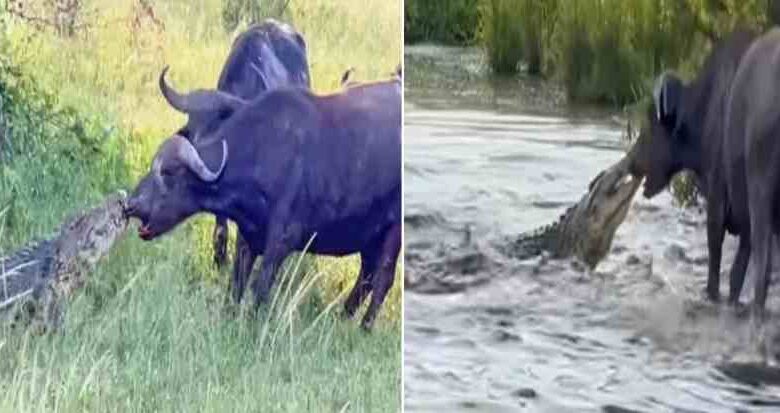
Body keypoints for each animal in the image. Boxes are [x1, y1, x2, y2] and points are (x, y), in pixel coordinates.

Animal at [125, 69, 401, 329]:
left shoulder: (281, 242)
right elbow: (236, 285)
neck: (263, 153)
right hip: (369, 236)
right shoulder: (246, 238)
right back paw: (342, 316)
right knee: (366, 276)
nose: (131, 205)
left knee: (383, 279)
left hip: (393, 233)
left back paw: (364, 327)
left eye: (169, 172)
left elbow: (260, 289)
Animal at [626, 28, 780, 317]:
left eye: (651, 125)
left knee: (763, 270)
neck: (708, 108)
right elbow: (736, 277)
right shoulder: (743, 222)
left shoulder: (719, 203)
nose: (631, 163)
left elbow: (717, 269)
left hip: (761, 197)